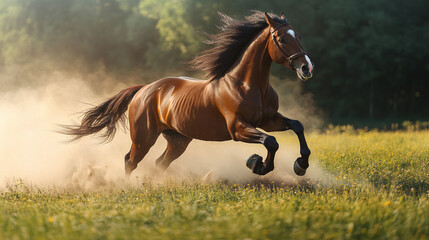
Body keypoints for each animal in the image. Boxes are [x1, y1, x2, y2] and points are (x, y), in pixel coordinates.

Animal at [60, 11, 312, 176]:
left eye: (299, 36)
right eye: (282, 39)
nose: (307, 68)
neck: (248, 85)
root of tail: (144, 89)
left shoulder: (268, 120)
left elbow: (297, 126)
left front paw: (301, 165)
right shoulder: (238, 128)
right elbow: (270, 141)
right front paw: (257, 164)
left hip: (178, 140)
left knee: (160, 162)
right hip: (143, 138)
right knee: (130, 161)